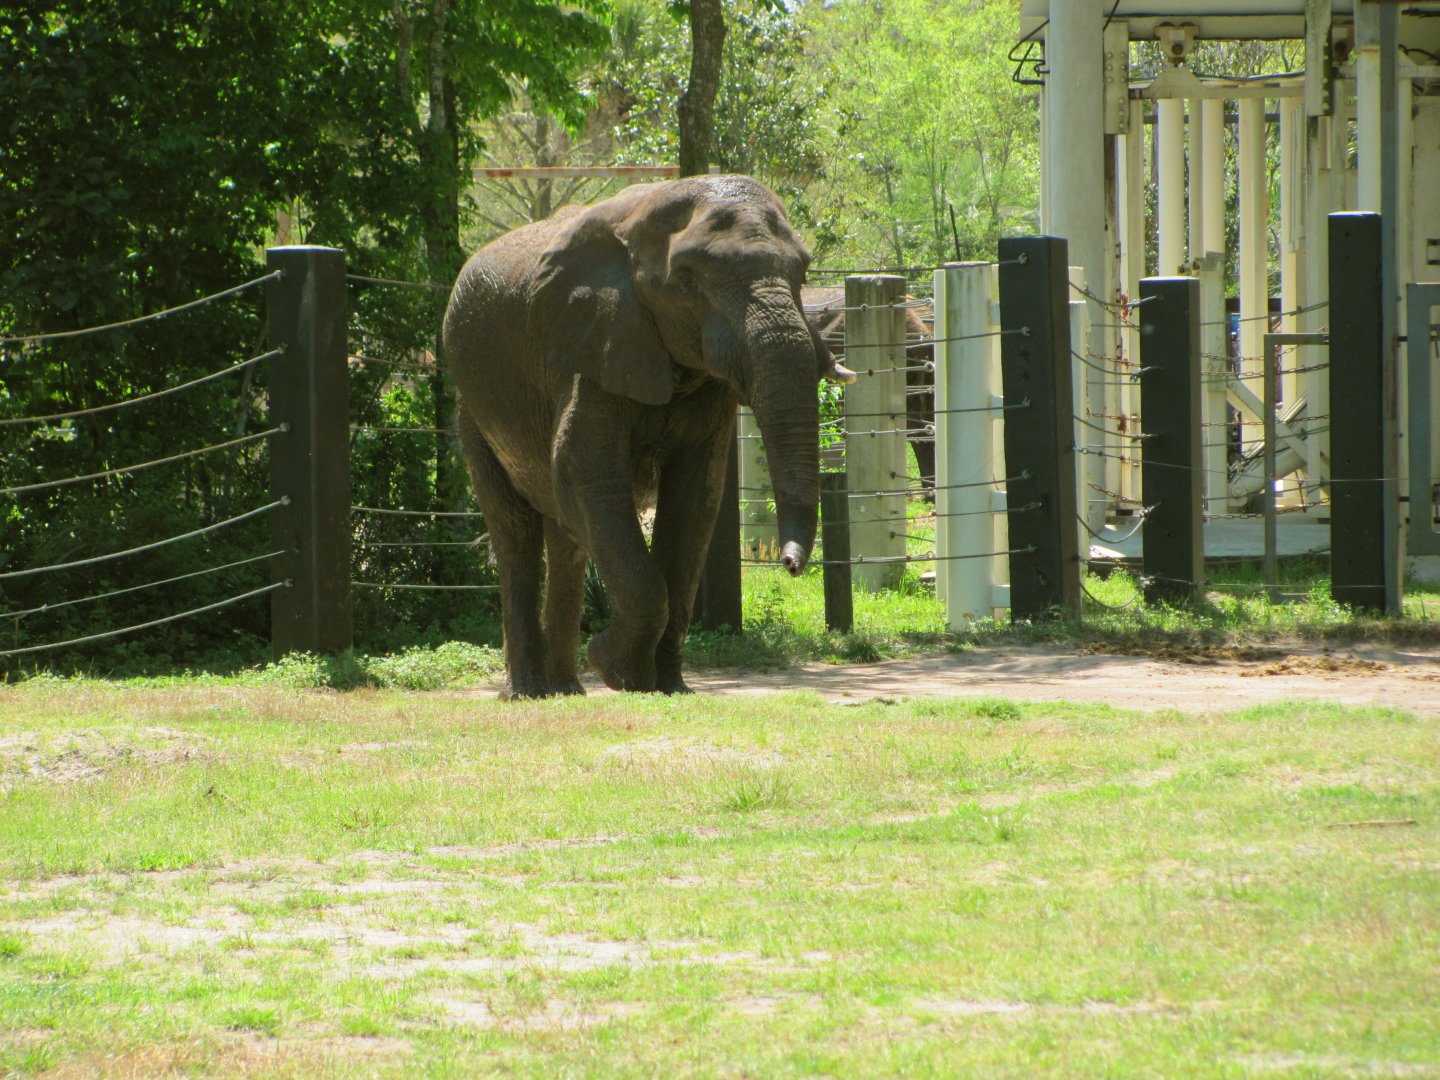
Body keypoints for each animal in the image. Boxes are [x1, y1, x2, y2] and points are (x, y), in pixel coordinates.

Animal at [444, 175, 854, 699]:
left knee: (567, 538)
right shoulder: (595, 344)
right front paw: (616, 669)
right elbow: (584, 473)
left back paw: (567, 690)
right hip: (471, 405)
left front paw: (667, 686)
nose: (790, 564)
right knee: (515, 528)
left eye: (802, 273)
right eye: (688, 280)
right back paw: (529, 693)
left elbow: (696, 495)